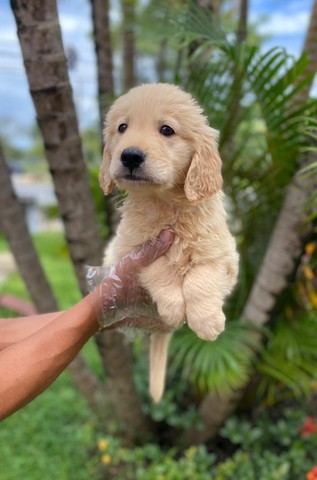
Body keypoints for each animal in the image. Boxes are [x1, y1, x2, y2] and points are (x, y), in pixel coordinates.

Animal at [99, 82, 237, 402]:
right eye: (122, 127)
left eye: (167, 130)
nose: (130, 156)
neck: (166, 205)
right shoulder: (127, 250)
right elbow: (158, 266)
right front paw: (174, 306)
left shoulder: (223, 252)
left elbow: (202, 276)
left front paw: (207, 321)